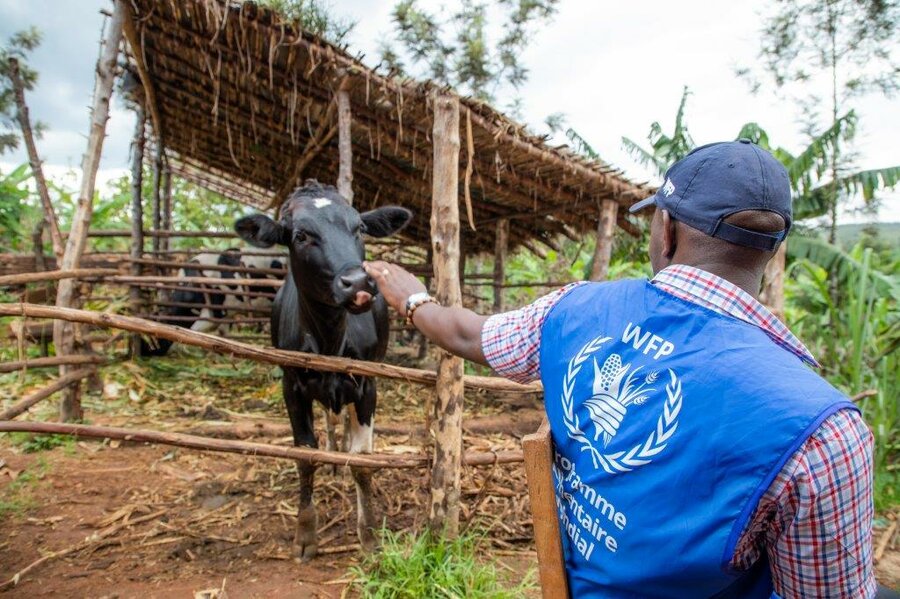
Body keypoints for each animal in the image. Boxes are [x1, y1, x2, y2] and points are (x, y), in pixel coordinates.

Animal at [234, 179, 414, 556]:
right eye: (300, 235)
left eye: (359, 228)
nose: (358, 283)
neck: (330, 339)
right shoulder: (291, 387)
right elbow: (305, 455)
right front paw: (305, 535)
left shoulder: (368, 386)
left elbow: (363, 460)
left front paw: (369, 535)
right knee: (330, 424)